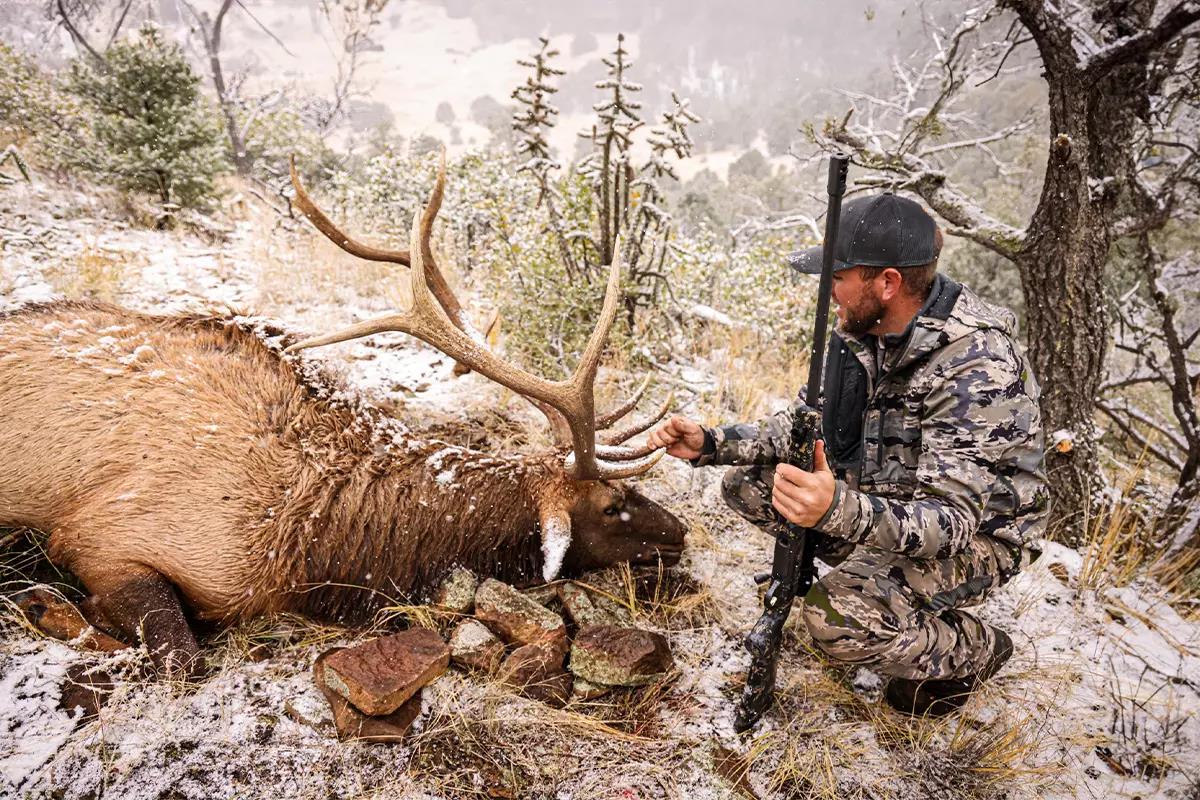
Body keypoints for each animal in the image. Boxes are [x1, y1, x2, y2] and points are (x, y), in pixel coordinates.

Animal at [0, 154, 686, 676]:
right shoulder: (105, 538)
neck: (311, 547)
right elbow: (179, 656)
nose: (680, 533)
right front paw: (49, 608)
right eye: (612, 506)